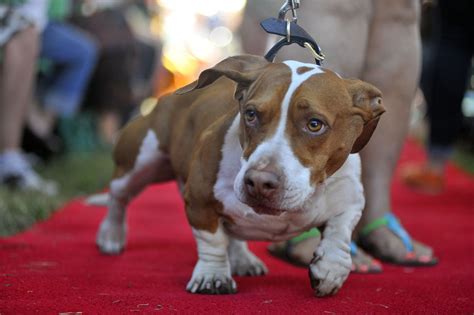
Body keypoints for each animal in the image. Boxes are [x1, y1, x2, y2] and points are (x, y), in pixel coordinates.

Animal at [96, 55, 386, 298]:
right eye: (251, 114)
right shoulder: (199, 200)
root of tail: (167, 98)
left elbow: (340, 232)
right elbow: (212, 240)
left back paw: (242, 258)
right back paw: (111, 235)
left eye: (315, 124)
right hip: (139, 161)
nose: (259, 182)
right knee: (118, 196)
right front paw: (212, 275)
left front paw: (330, 269)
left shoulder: (350, 199)